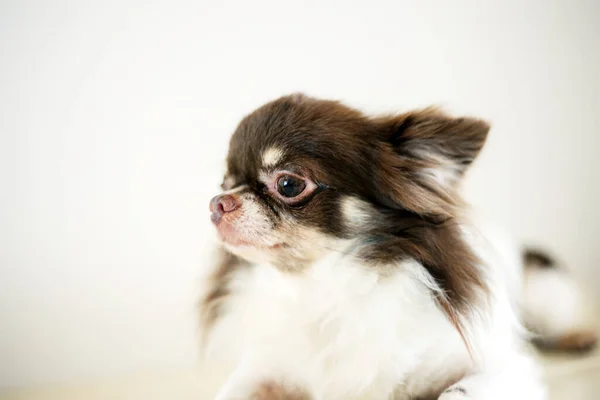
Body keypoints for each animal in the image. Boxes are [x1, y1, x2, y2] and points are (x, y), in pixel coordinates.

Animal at [200, 94, 596, 400]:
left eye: (288, 184)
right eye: (225, 183)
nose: (216, 203)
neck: (324, 286)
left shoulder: (501, 368)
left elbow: (456, 393)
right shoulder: (267, 369)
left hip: (549, 293)